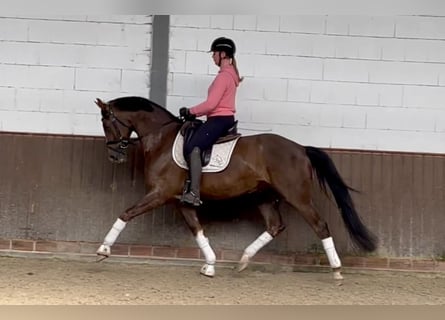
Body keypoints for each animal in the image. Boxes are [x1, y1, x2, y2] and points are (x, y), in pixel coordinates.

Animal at [93, 96, 374, 278]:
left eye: (107, 122)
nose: (114, 156)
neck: (161, 139)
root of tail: (301, 149)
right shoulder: (180, 201)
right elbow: (198, 230)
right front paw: (210, 265)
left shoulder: (160, 194)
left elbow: (126, 213)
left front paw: (103, 250)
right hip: (264, 197)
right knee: (275, 226)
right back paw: (243, 260)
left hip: (297, 196)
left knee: (320, 225)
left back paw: (336, 270)